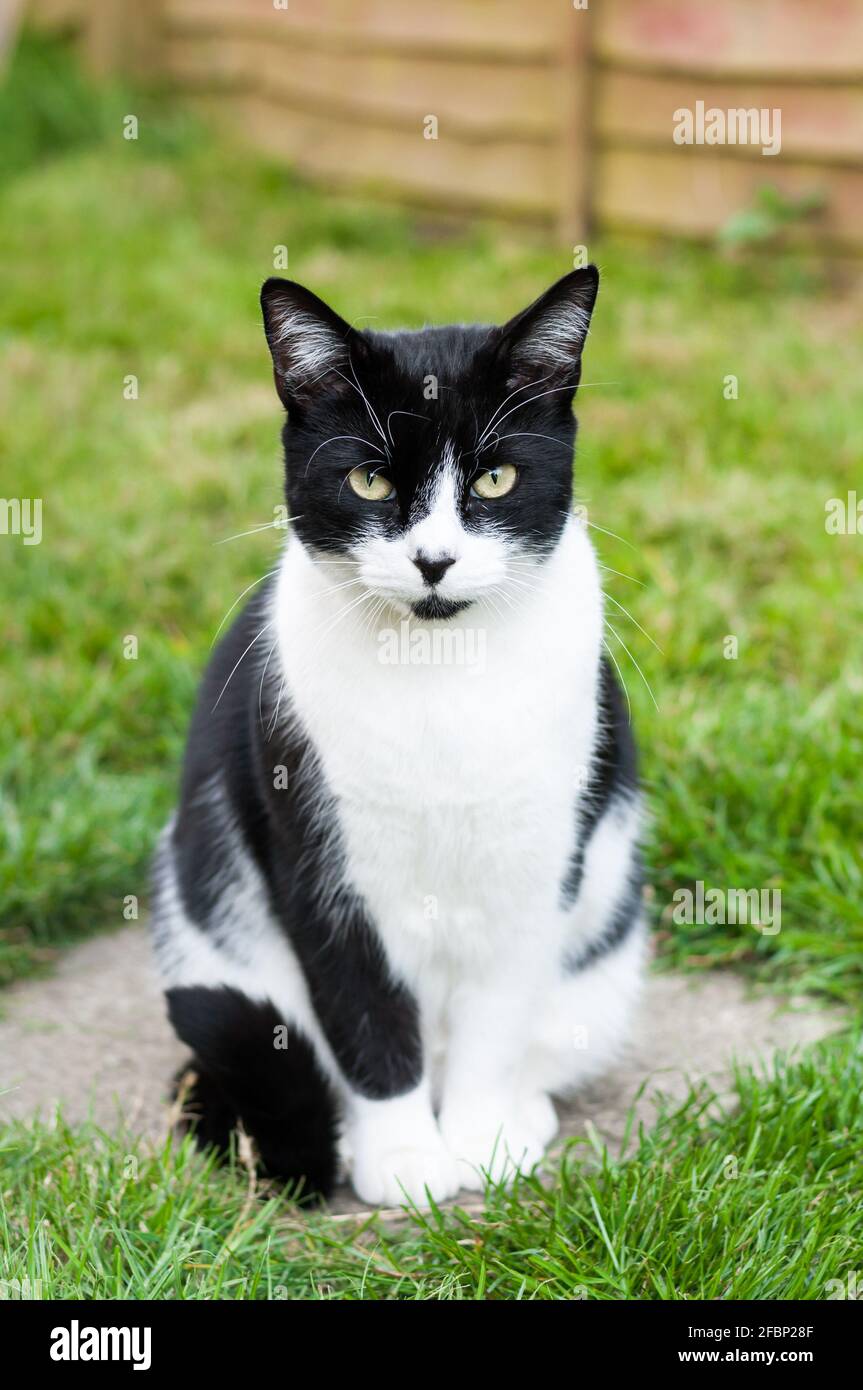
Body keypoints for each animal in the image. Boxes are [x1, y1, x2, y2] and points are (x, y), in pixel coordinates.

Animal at [150, 262, 644, 1206]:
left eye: (493, 480)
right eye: (371, 483)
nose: (433, 561)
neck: (437, 669)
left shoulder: (536, 861)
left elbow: (497, 1017)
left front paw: (482, 1140)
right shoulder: (316, 857)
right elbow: (365, 1013)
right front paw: (406, 1158)